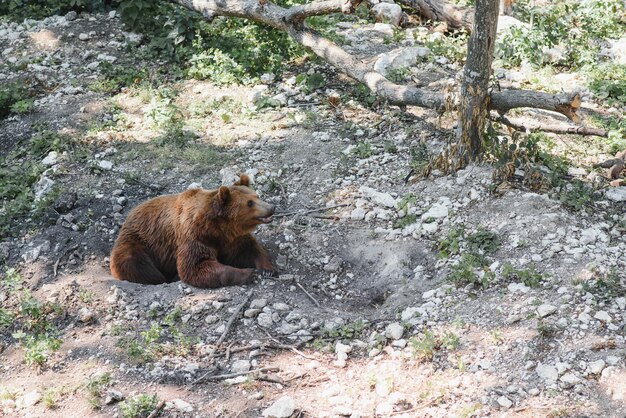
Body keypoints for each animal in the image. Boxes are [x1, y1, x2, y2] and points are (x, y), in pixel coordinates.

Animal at [110, 174, 276, 288]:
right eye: (250, 203)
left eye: (257, 195)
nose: (271, 208)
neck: (216, 228)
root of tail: (128, 217)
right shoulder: (193, 235)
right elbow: (196, 266)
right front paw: (247, 273)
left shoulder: (231, 238)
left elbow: (248, 249)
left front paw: (267, 268)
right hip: (138, 242)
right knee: (136, 265)